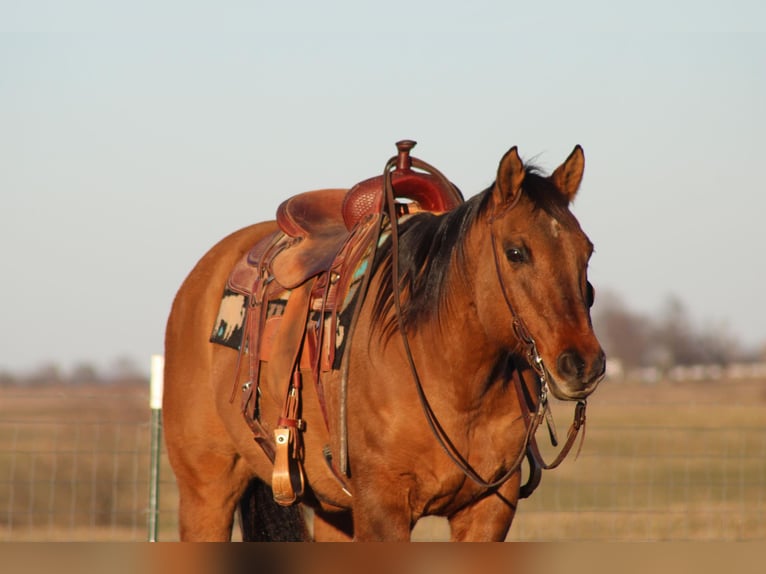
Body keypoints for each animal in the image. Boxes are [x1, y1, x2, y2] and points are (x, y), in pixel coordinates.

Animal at [162, 142, 608, 544]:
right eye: (516, 252)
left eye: (587, 251)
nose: (583, 364)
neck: (450, 375)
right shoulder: (382, 506)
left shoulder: (488, 511)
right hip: (207, 492)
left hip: (333, 511)